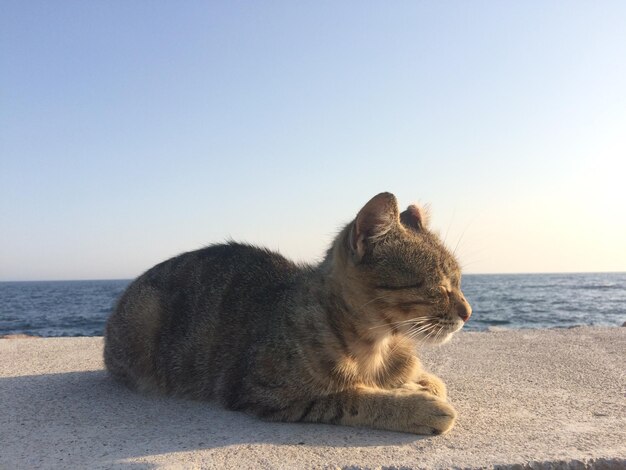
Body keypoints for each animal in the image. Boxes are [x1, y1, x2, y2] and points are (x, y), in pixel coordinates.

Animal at [105, 191, 470, 434]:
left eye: (458, 280)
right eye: (438, 285)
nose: (467, 312)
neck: (377, 345)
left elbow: (426, 378)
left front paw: (420, 382)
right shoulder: (265, 392)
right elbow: (350, 398)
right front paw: (415, 405)